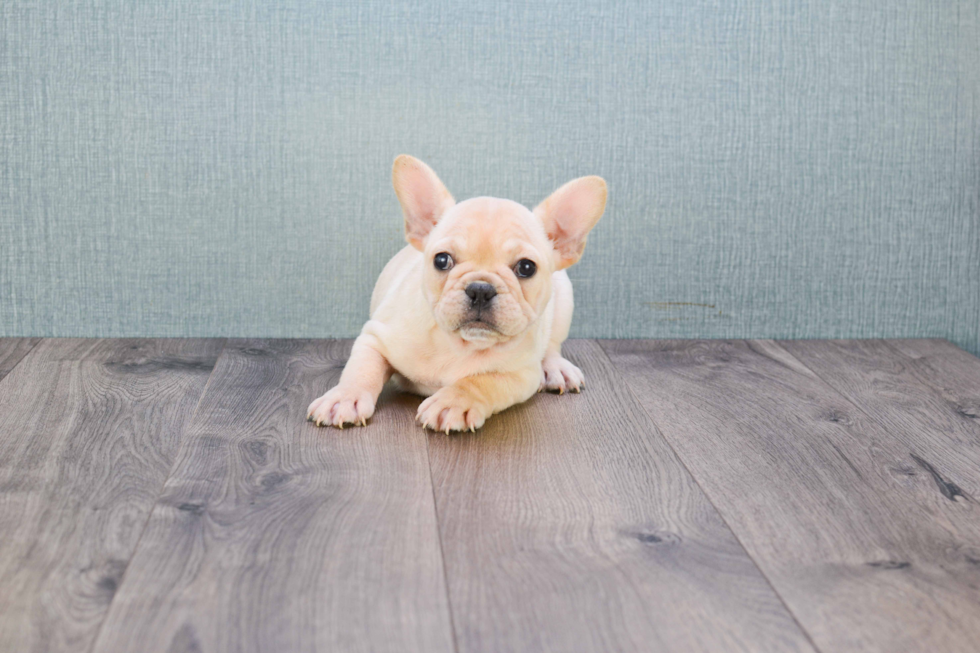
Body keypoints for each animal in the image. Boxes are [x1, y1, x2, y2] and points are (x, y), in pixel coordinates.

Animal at [310, 155, 608, 430]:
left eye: (526, 267)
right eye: (442, 260)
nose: (480, 289)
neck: (460, 344)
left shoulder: (522, 374)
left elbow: (482, 381)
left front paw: (453, 401)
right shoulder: (375, 338)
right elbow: (362, 369)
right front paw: (344, 398)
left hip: (564, 301)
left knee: (553, 345)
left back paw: (557, 369)